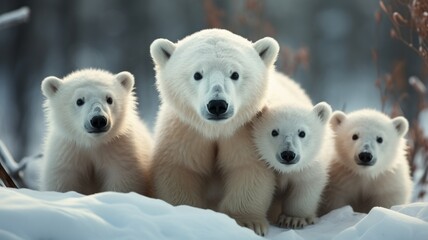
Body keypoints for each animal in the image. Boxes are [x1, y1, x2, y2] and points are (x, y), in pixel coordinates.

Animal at [40, 68, 153, 196]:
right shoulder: (67, 154)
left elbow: (123, 180)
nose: (98, 120)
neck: (93, 143)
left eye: (109, 99)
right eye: (79, 101)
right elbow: (62, 182)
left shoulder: (119, 151)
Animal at [150, 29, 280, 235]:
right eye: (197, 74)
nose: (217, 105)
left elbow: (248, 169)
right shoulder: (186, 133)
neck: (216, 129)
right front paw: (186, 214)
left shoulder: (246, 133)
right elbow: (180, 169)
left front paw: (248, 223)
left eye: (235, 74)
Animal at [252, 73, 332, 229]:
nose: (288, 154)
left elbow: (306, 186)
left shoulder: (308, 166)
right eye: (274, 132)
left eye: (302, 133)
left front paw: (293, 219)